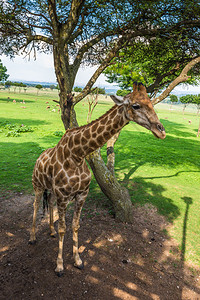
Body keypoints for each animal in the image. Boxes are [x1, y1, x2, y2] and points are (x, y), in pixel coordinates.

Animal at [28, 82, 165, 276]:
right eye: (136, 105)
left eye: (152, 103)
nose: (161, 131)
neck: (77, 154)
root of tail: (39, 158)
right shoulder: (64, 196)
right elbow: (64, 229)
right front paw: (60, 265)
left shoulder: (81, 194)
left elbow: (75, 226)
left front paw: (78, 260)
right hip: (38, 185)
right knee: (35, 206)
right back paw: (32, 237)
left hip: (52, 191)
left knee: (50, 204)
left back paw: (51, 231)